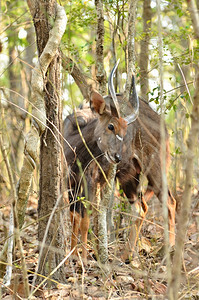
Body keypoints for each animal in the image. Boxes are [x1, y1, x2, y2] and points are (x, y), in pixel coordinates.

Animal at [63, 62, 176, 264]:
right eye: (111, 126)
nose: (117, 157)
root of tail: (163, 127)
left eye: (125, 129)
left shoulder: (90, 181)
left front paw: (83, 258)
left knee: (170, 201)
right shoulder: (71, 181)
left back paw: (168, 250)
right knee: (140, 208)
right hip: (129, 177)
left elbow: (85, 219)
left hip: (155, 170)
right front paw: (72, 255)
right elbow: (74, 216)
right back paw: (126, 256)